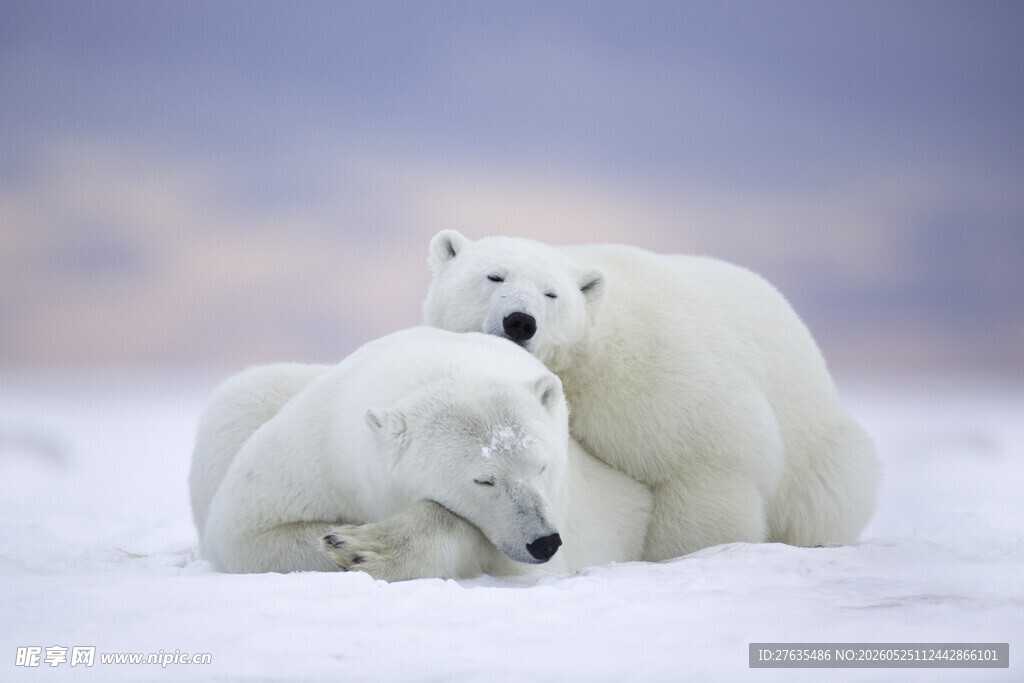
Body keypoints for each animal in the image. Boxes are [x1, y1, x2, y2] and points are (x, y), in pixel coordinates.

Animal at [189, 326, 652, 580]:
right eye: (484, 479)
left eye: (542, 466)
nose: (544, 541)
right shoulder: (320, 450)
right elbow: (246, 530)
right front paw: (342, 540)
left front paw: (364, 546)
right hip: (246, 402)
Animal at [423, 231, 880, 561]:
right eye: (494, 276)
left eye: (552, 293)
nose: (520, 321)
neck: (588, 354)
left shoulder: (653, 375)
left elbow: (709, 459)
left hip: (820, 454)